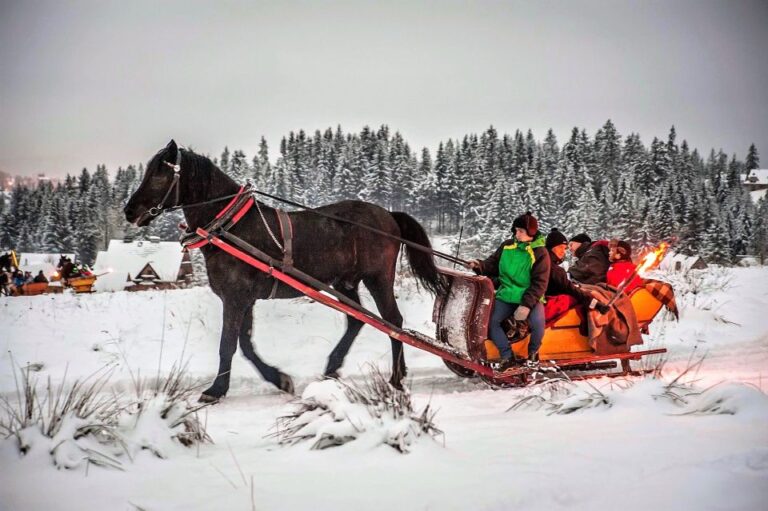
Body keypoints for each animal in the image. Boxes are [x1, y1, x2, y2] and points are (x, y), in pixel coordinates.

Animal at [124, 141, 444, 404]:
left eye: (159, 174)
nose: (129, 211)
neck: (230, 225)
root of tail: (389, 215)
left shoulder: (235, 297)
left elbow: (228, 344)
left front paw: (215, 390)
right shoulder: (244, 298)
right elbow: (245, 344)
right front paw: (279, 379)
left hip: (377, 278)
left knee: (393, 322)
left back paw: (396, 377)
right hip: (345, 283)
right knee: (358, 322)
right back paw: (335, 367)